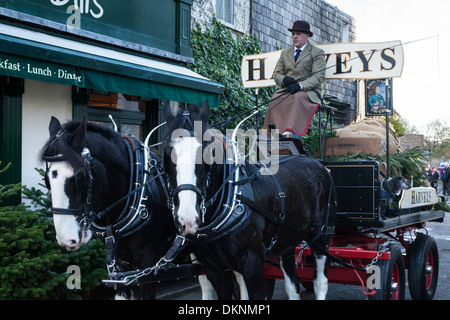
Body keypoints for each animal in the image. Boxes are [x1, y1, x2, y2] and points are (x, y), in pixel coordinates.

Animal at [163, 100, 336, 300]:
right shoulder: (214, 269)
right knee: (292, 283)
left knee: (320, 281)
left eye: (207, 153)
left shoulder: (253, 265)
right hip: (288, 238)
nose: (187, 218)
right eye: (167, 153)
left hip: (320, 235)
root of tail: (319, 165)